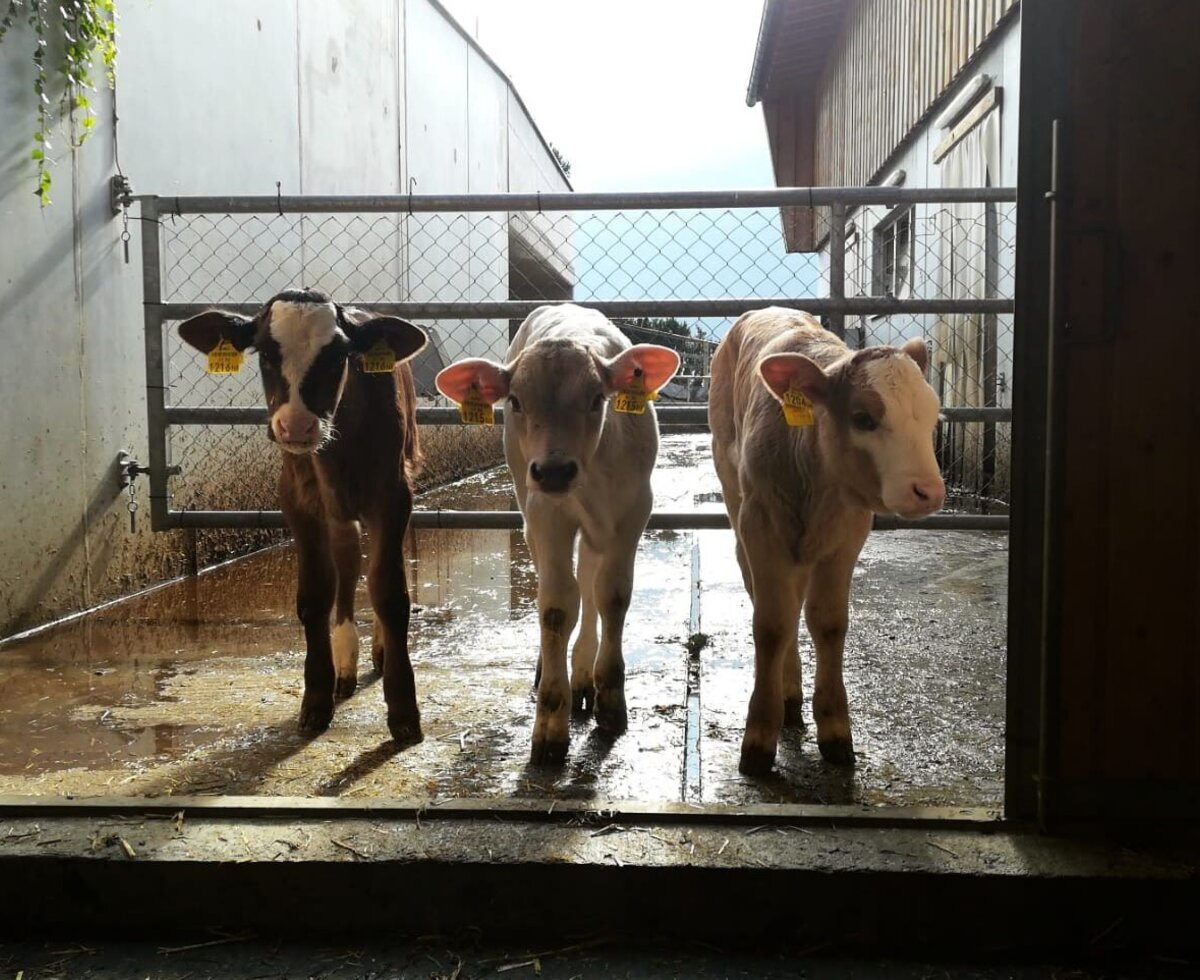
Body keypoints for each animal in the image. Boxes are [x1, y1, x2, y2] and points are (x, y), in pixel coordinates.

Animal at [176, 289, 428, 744]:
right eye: (264, 353)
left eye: (339, 355)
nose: (295, 426)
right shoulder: (297, 501)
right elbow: (314, 596)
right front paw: (316, 700)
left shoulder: (394, 495)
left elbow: (390, 593)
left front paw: (403, 710)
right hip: (336, 512)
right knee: (348, 559)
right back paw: (345, 661)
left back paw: (379, 649)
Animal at [435, 304, 680, 764]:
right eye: (515, 400)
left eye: (597, 398)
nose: (554, 470)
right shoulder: (545, 514)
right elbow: (555, 608)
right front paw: (550, 722)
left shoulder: (634, 510)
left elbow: (612, 597)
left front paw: (611, 701)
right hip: (526, 498)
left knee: (590, 583)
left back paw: (584, 675)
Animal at [708, 307, 945, 775]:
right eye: (864, 418)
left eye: (932, 416)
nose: (928, 491)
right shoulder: (761, 527)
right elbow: (771, 625)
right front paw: (759, 736)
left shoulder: (848, 532)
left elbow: (829, 623)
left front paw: (836, 730)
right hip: (733, 493)